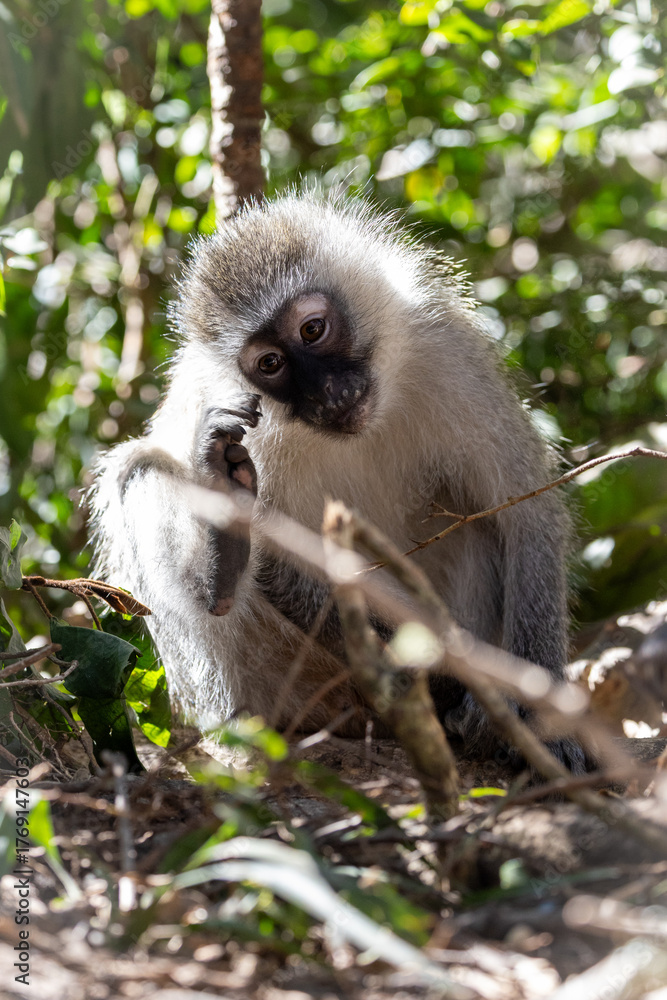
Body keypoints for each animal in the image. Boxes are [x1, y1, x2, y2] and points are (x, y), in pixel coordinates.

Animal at [89, 191, 585, 773]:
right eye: (271, 363)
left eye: (312, 330)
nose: (328, 394)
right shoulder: (243, 419)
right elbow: (282, 566)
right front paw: (460, 688)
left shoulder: (448, 350)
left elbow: (524, 513)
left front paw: (544, 726)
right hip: (272, 681)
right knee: (139, 468)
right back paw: (221, 565)